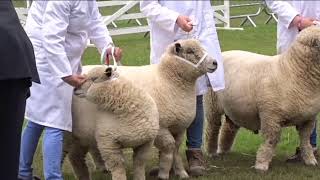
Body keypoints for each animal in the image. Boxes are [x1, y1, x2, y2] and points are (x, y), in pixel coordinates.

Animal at [77, 38, 218, 179]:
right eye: (190, 51)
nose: (215, 63)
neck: (167, 81)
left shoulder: (179, 128)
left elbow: (176, 150)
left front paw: (181, 172)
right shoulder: (160, 128)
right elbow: (169, 147)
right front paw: (163, 172)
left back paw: (102, 167)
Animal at [204, 25, 320, 172]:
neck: (291, 70)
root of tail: (223, 54)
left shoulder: (308, 119)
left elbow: (305, 141)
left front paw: (310, 160)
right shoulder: (271, 116)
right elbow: (271, 140)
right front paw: (262, 164)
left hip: (234, 107)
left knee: (228, 128)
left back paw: (224, 150)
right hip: (212, 104)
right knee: (212, 129)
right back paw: (211, 152)